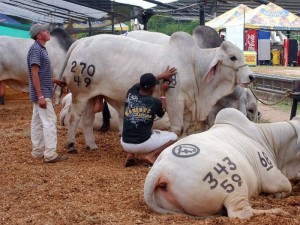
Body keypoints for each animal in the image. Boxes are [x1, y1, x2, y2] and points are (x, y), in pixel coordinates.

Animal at [61, 31, 253, 153]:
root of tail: (82, 41)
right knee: (74, 118)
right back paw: (71, 145)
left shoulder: (187, 106)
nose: (251, 76)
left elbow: (185, 130)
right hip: (79, 94)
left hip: (92, 96)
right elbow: (177, 128)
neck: (194, 65)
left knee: (87, 120)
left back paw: (91, 145)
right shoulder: (175, 102)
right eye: (233, 57)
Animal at [144, 108, 298, 219]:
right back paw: (278, 211)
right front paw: (277, 195)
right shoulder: (271, 175)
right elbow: (288, 187)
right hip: (234, 185)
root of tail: (160, 168)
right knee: (240, 213)